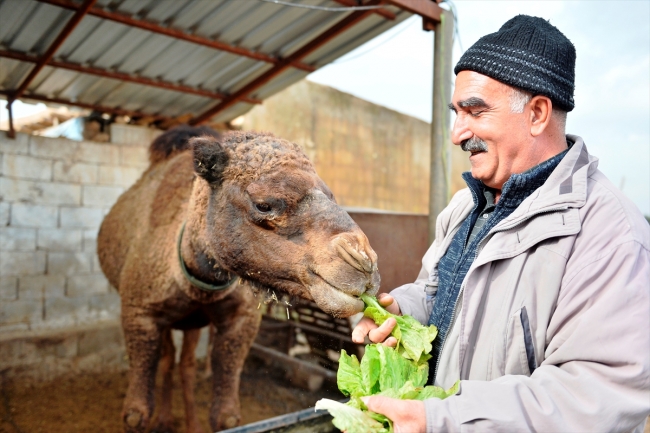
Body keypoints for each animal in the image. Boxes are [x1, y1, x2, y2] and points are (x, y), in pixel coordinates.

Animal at [97, 125, 380, 432]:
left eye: (331, 196)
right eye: (263, 205)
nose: (364, 263)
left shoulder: (240, 320)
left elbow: (226, 417)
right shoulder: (140, 313)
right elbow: (135, 414)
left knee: (185, 363)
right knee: (170, 360)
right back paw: (165, 420)